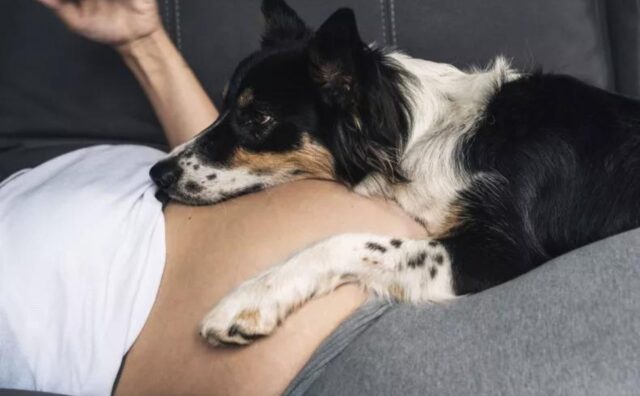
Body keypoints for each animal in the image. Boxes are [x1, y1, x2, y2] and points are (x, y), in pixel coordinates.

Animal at [149, 0, 640, 344]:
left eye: (258, 119)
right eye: (224, 107)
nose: (157, 174)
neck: (420, 138)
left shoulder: (501, 252)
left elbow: (345, 242)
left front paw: (252, 297)